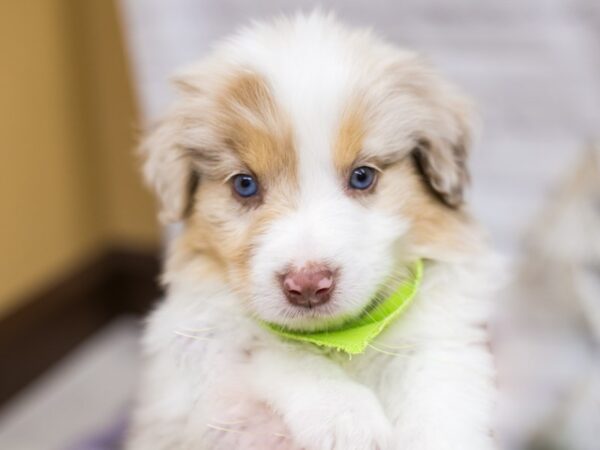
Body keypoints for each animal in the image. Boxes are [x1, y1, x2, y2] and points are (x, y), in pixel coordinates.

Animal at [129, 12, 500, 448]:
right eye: (245, 184)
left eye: (362, 176)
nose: (308, 285)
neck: (344, 337)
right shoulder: (201, 340)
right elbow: (275, 348)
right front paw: (347, 418)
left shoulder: (443, 334)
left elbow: (441, 395)